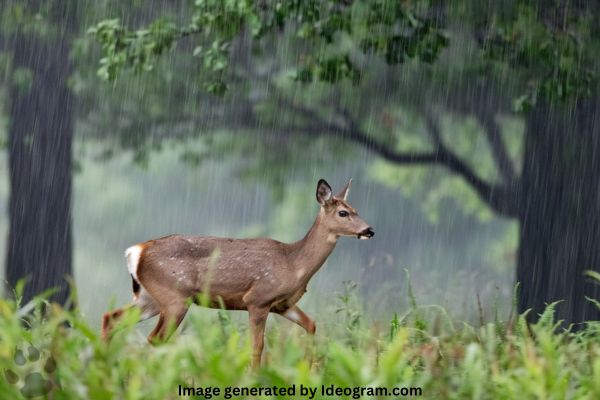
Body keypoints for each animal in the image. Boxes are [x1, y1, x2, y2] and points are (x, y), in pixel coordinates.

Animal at [102, 180, 376, 368]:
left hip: (149, 297)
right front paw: (254, 379)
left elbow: (311, 325)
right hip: (174, 297)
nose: (369, 230)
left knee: (111, 318)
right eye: (343, 212)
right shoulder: (258, 299)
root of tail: (137, 251)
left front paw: (308, 369)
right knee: (155, 338)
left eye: (356, 208)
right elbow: (257, 347)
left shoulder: (283, 304)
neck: (293, 264)